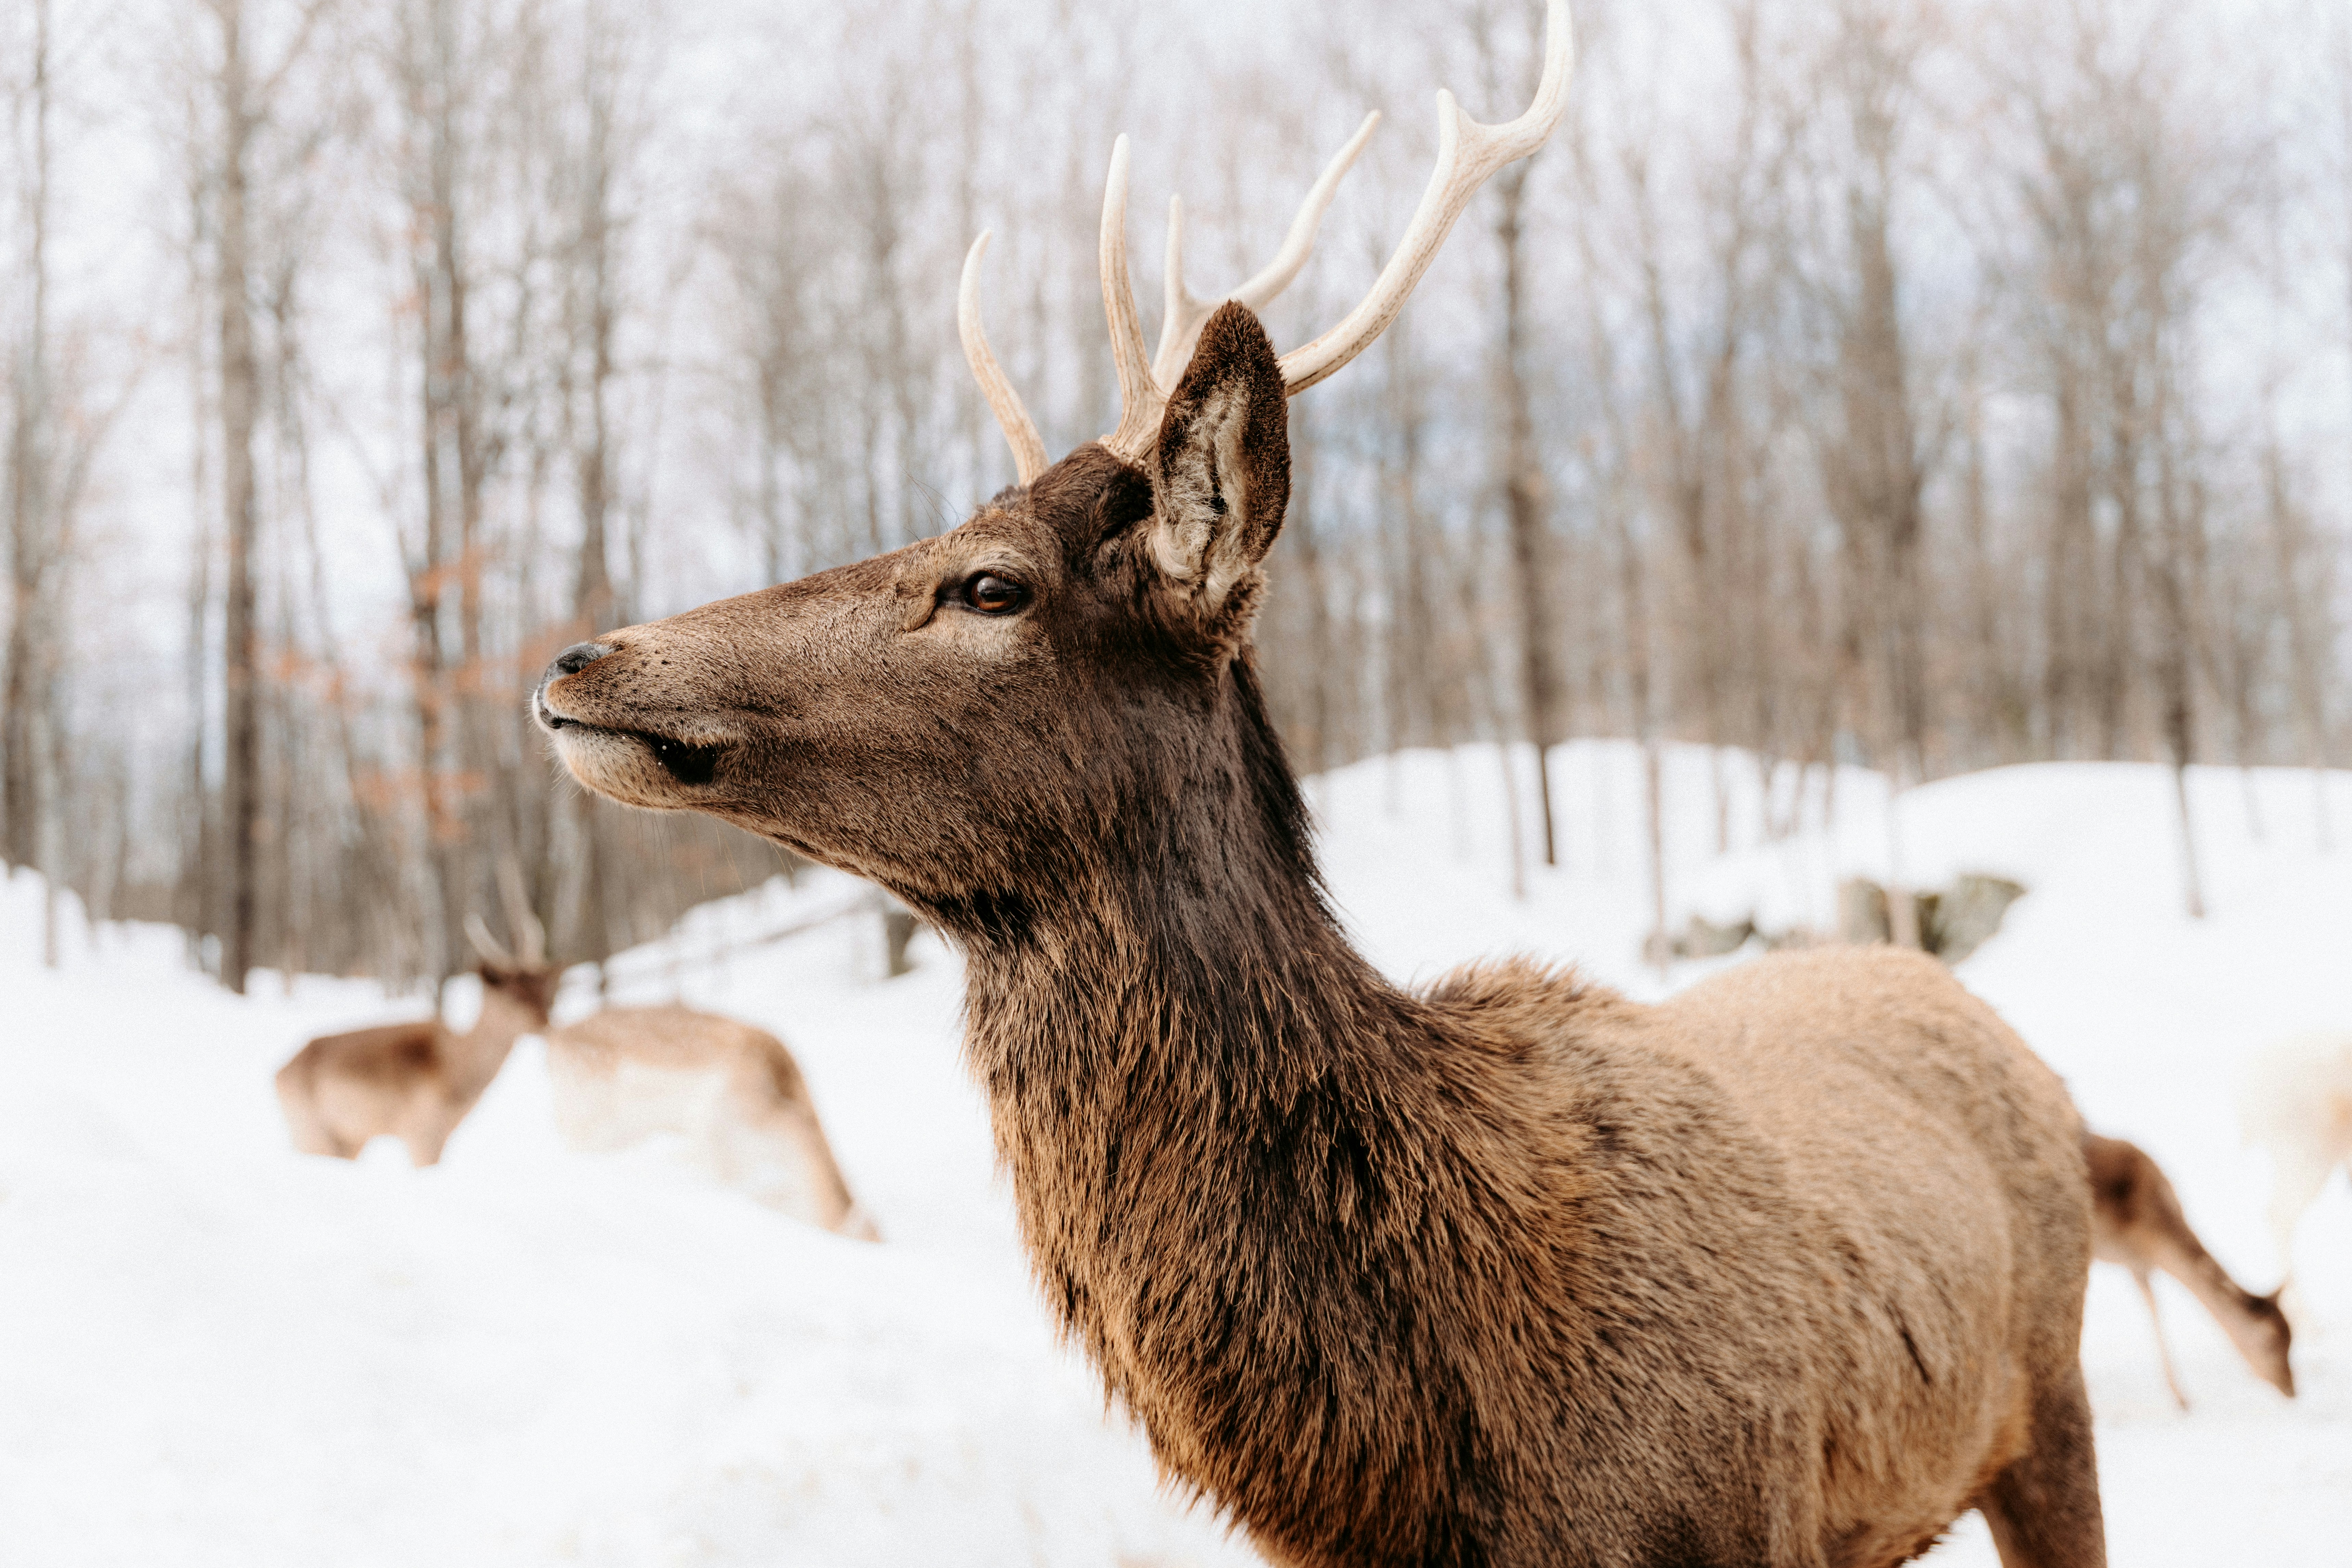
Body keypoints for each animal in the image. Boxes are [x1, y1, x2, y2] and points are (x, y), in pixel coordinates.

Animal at [275, 909, 559, 1168]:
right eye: (515, 994)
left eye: (546, 992)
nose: (547, 1025)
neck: (456, 1070)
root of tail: (279, 1073)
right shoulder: (421, 1134)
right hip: (313, 1136)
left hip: (349, 1142)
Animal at [2082, 1132, 2292, 1410]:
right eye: (2272, 1343)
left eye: (2292, 1339)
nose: (2292, 1389)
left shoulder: (2139, 1264)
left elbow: (2154, 1309)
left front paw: (2182, 1399)